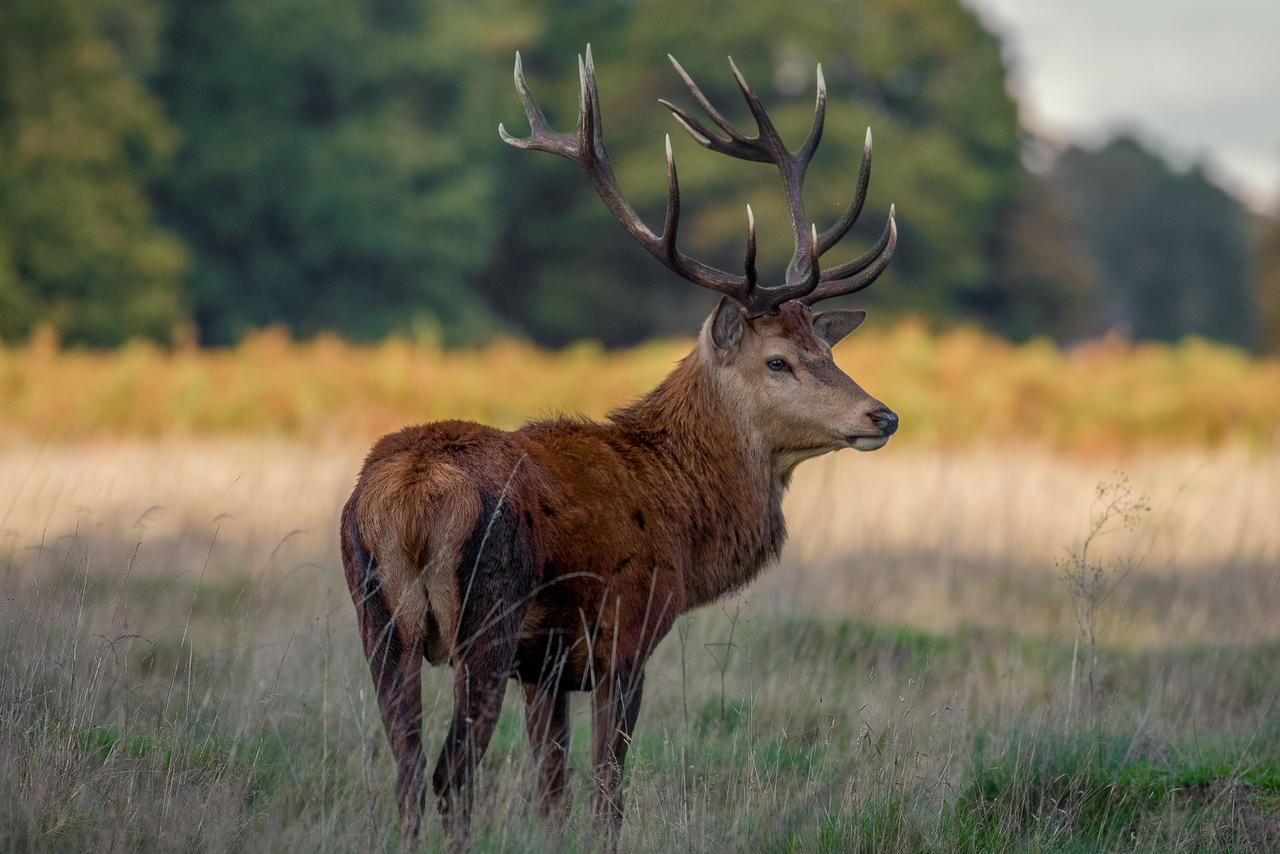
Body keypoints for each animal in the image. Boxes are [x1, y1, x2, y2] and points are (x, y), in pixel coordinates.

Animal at [340, 46, 901, 850]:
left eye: (825, 348)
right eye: (779, 362)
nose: (882, 415)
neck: (684, 518)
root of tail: (410, 499)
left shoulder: (545, 668)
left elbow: (552, 791)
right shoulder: (624, 635)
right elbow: (608, 792)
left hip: (377, 618)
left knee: (410, 773)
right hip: (485, 620)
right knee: (450, 775)